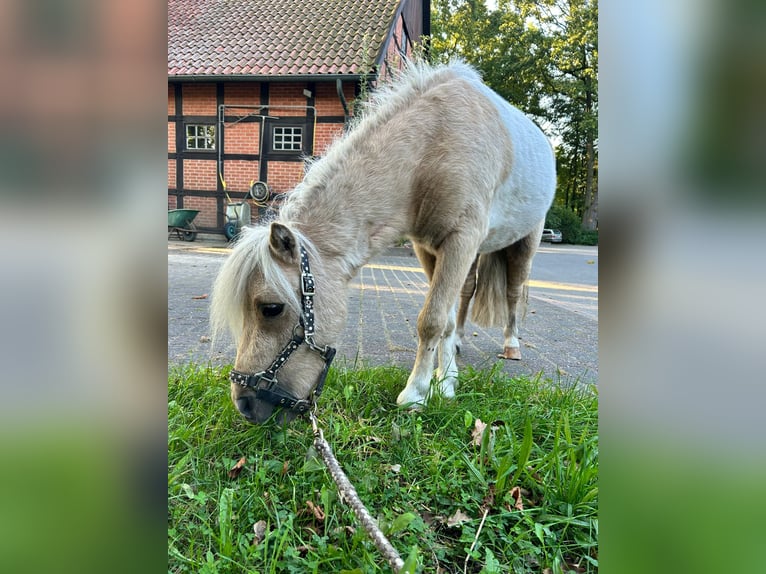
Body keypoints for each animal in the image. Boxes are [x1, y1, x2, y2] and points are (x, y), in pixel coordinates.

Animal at [212, 60, 560, 426]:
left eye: (271, 308)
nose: (245, 405)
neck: (433, 143)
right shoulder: (431, 248)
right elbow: (447, 320)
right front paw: (447, 381)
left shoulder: (460, 240)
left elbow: (432, 321)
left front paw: (417, 393)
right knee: (466, 294)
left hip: (524, 243)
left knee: (513, 293)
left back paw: (511, 344)